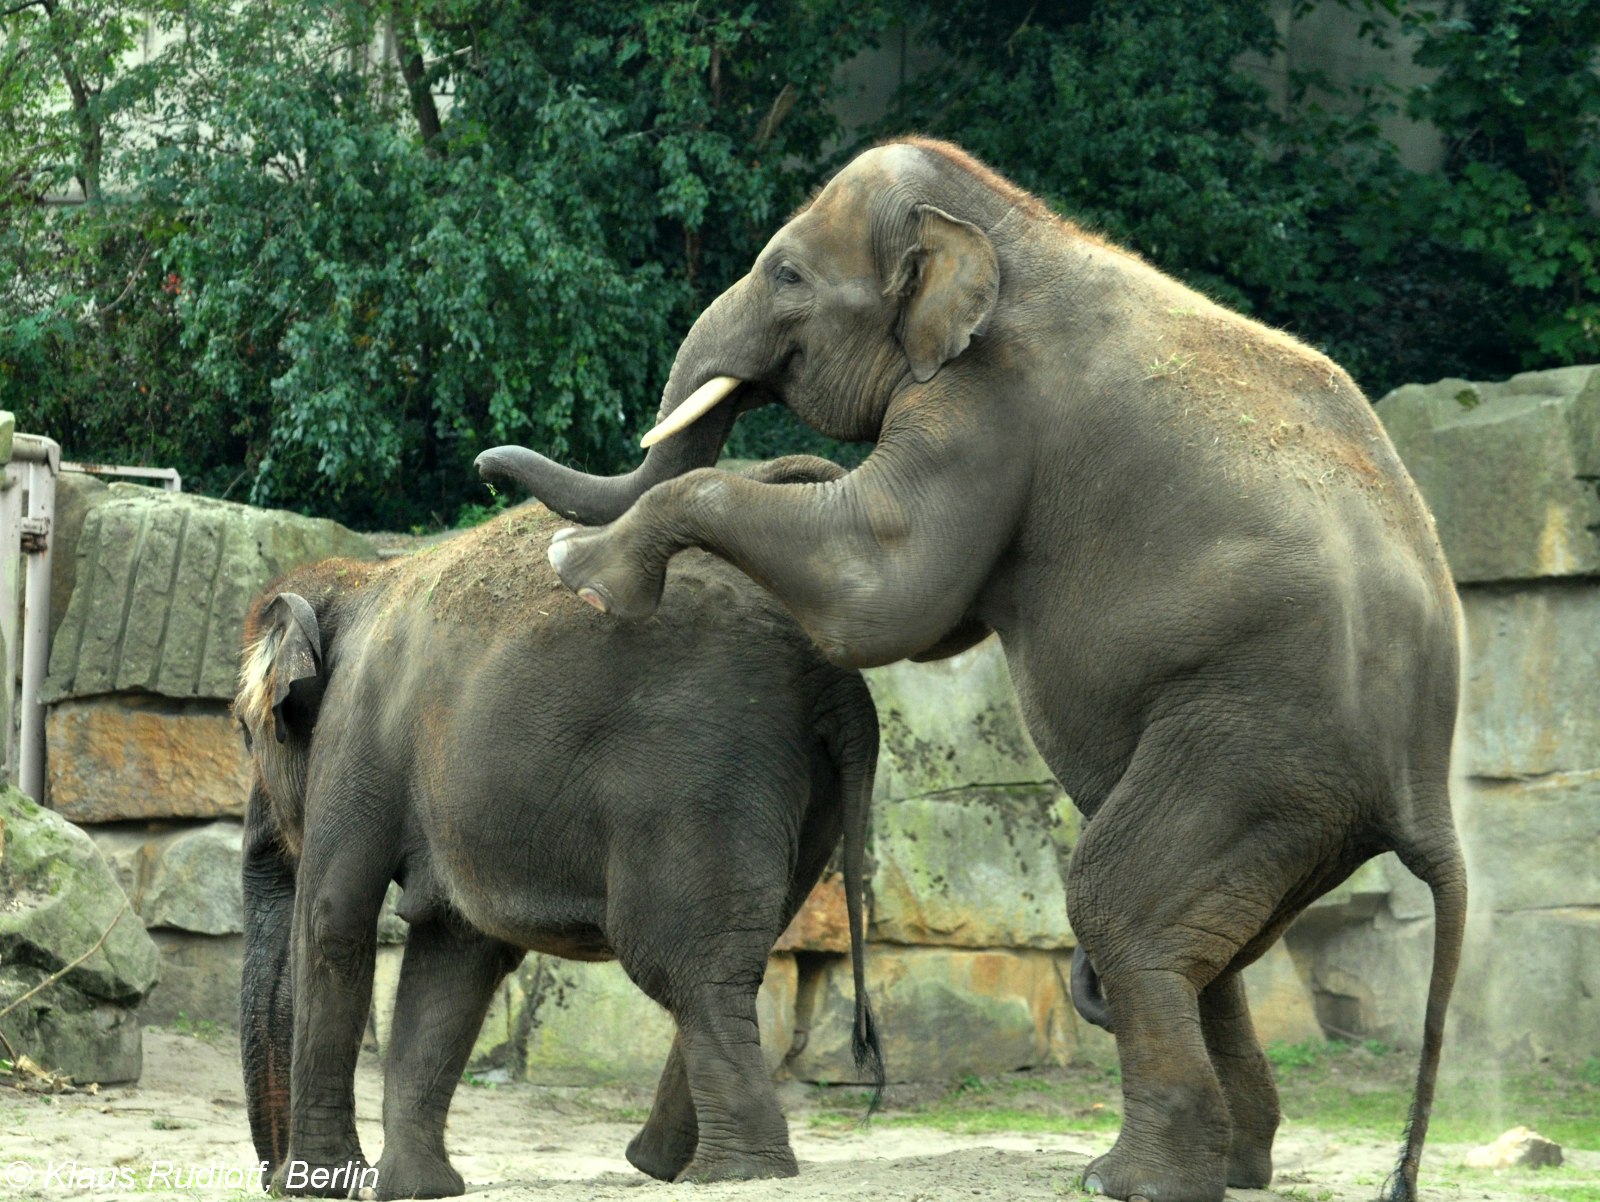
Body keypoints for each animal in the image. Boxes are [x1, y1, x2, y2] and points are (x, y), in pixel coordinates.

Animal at [235, 486, 883, 1197]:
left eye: (244, 730)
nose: (273, 1179)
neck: (359, 581)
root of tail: (836, 681)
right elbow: (455, 953)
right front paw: (417, 1188)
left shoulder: (355, 729)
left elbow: (334, 922)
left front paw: (319, 1185)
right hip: (808, 796)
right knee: (738, 956)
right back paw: (664, 1164)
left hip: (702, 778)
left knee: (687, 963)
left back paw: (731, 1172)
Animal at [476, 133, 1472, 1202]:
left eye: (786, 275)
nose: (488, 463)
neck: (1007, 222)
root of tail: (1428, 790)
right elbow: (918, 611)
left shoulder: (985, 403)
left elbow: (885, 592)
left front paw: (579, 571)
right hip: (1289, 795)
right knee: (1211, 948)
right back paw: (1228, 1166)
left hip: (1258, 744)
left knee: (1124, 903)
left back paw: (1128, 1179)